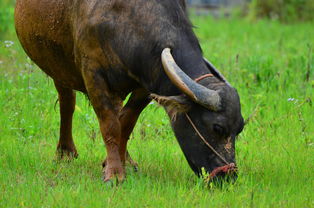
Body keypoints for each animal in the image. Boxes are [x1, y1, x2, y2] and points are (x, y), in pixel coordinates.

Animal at [14, 0, 244, 182]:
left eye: (239, 129)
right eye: (217, 128)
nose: (228, 177)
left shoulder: (146, 83)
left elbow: (125, 122)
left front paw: (113, 163)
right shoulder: (93, 75)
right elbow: (109, 125)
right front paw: (115, 174)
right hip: (58, 67)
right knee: (67, 103)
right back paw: (65, 152)